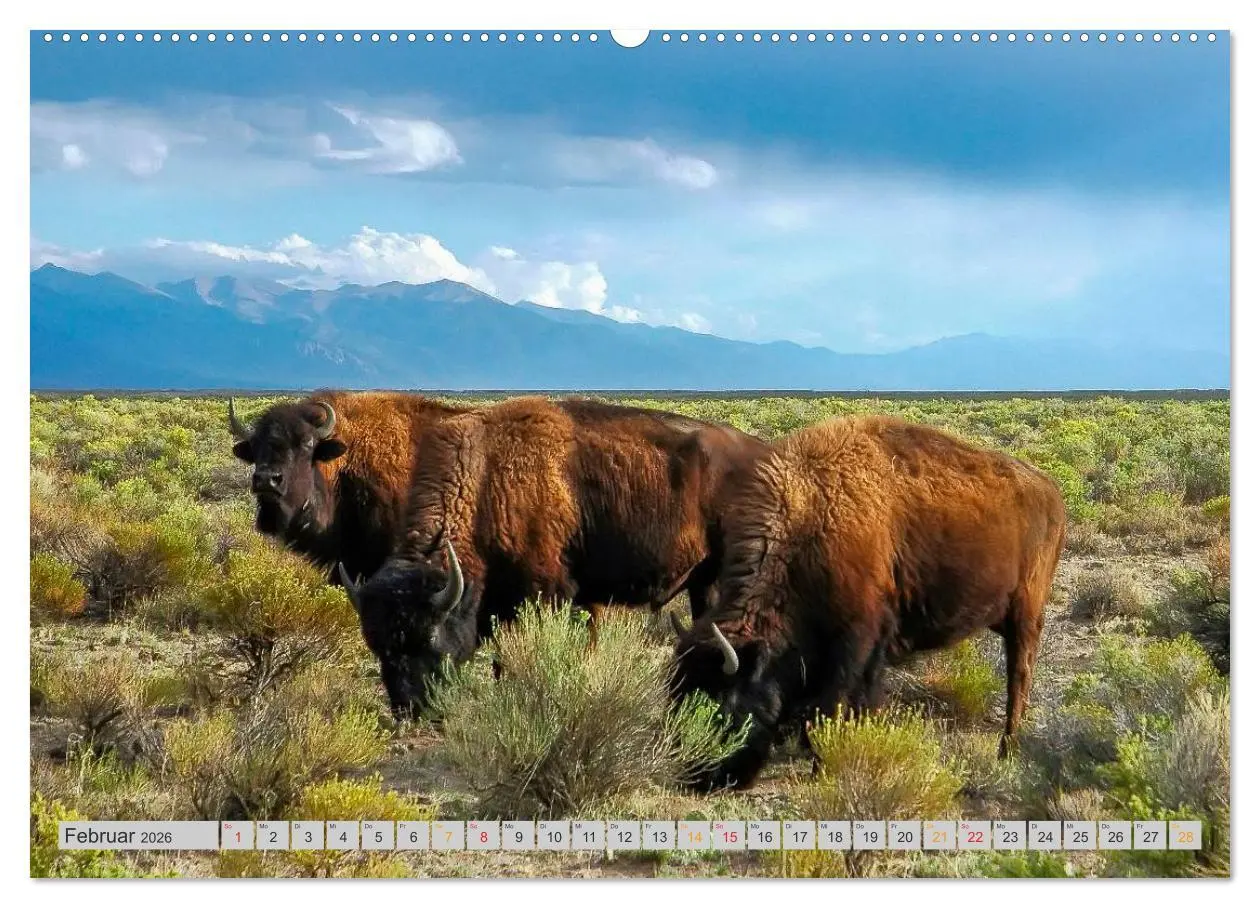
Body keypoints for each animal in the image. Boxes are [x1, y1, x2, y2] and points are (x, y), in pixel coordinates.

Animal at [339, 395, 770, 716]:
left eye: (429, 636)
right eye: (375, 643)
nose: (410, 708)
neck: (487, 479)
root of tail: (761, 452)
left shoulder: (545, 593)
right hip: (703, 580)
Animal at [671, 415, 1067, 790]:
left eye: (721, 704)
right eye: (675, 692)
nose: (696, 777)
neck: (813, 515)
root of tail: (1052, 492)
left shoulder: (856, 642)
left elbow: (836, 704)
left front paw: (823, 764)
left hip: (1026, 615)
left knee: (1019, 678)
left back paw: (1007, 750)